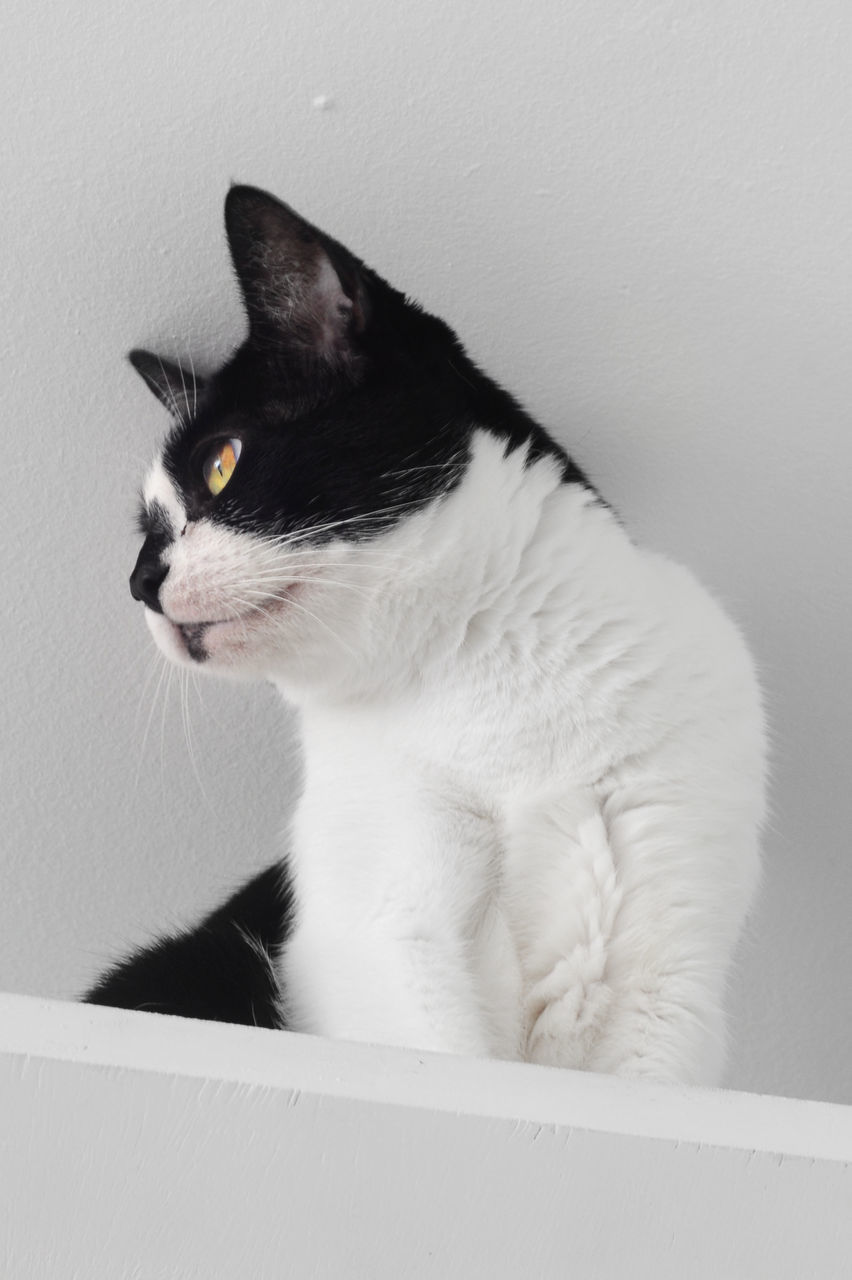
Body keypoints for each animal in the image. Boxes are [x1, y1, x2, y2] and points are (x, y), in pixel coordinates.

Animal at [89, 185, 767, 1085]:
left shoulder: (667, 977)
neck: (495, 677)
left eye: (221, 464)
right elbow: (436, 1043)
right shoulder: (385, 932)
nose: (138, 580)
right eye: (148, 527)